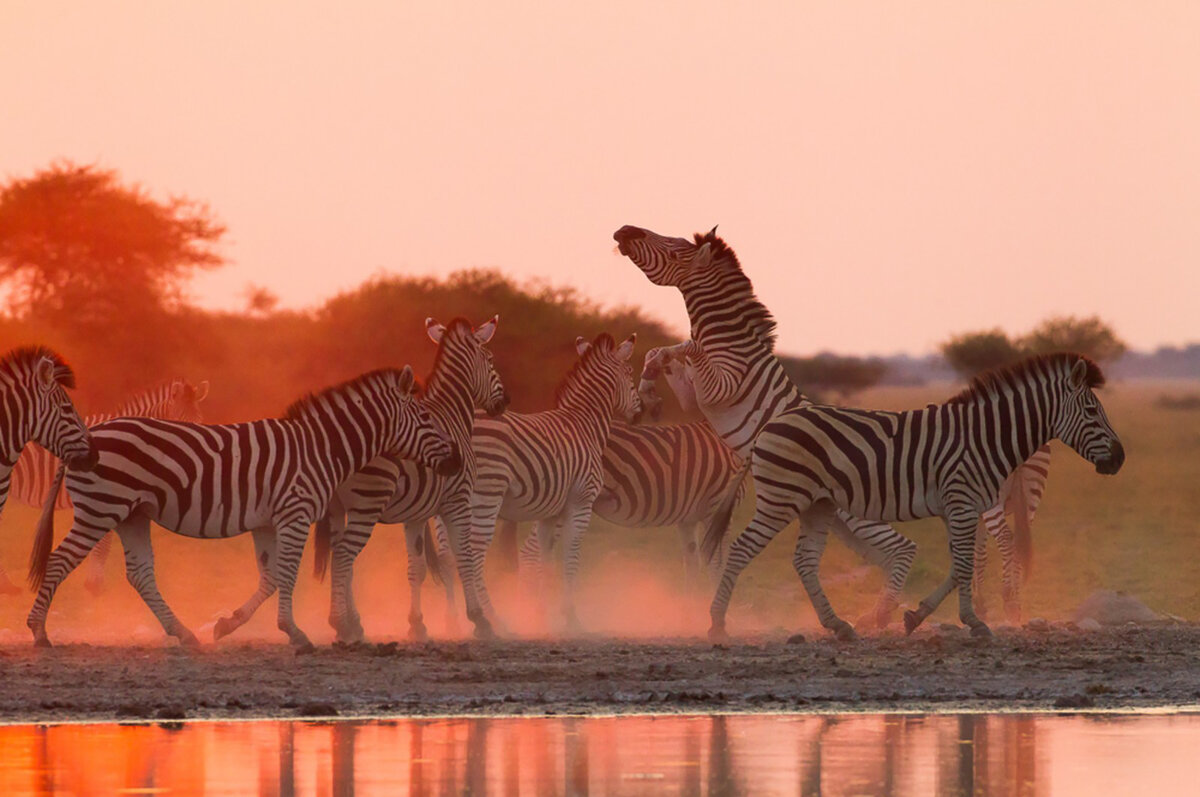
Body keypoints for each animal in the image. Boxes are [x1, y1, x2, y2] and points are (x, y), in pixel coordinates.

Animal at [0, 379, 210, 597]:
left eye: (200, 421)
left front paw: (93, 581)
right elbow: (104, 543)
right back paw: (7, 586)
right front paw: (95, 584)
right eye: (178, 425)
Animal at [28, 364, 460, 648]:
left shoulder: (266, 521)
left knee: (140, 574)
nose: (456, 461)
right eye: (425, 416)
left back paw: (184, 633)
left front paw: (228, 624)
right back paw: (39, 631)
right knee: (59, 560)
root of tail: (88, 436)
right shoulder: (294, 513)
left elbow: (269, 577)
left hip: (131, 514)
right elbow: (286, 574)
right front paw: (295, 633)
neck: (320, 446)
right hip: (100, 509)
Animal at [463, 331, 643, 633]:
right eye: (629, 373)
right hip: (487, 494)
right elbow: (571, 557)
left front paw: (541, 615)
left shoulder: (550, 512)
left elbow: (544, 560)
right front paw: (571, 618)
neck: (585, 425)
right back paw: (491, 619)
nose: (641, 413)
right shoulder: (581, 503)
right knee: (473, 551)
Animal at [614, 225, 912, 633]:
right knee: (884, 556)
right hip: (839, 519)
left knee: (903, 548)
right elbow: (661, 351)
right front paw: (649, 391)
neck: (725, 341)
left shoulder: (719, 387)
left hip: (857, 515)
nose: (624, 231)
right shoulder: (695, 397)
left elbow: (688, 347)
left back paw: (881, 615)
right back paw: (874, 615)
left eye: (675, 251)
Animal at [700, 352, 1123, 638]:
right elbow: (963, 565)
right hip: (781, 499)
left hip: (818, 505)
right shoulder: (961, 502)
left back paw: (838, 625)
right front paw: (973, 622)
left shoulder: (958, 507)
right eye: (1091, 410)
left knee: (804, 561)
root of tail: (771, 425)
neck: (985, 437)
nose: (1119, 458)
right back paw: (717, 622)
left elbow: (958, 566)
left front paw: (917, 616)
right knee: (741, 549)